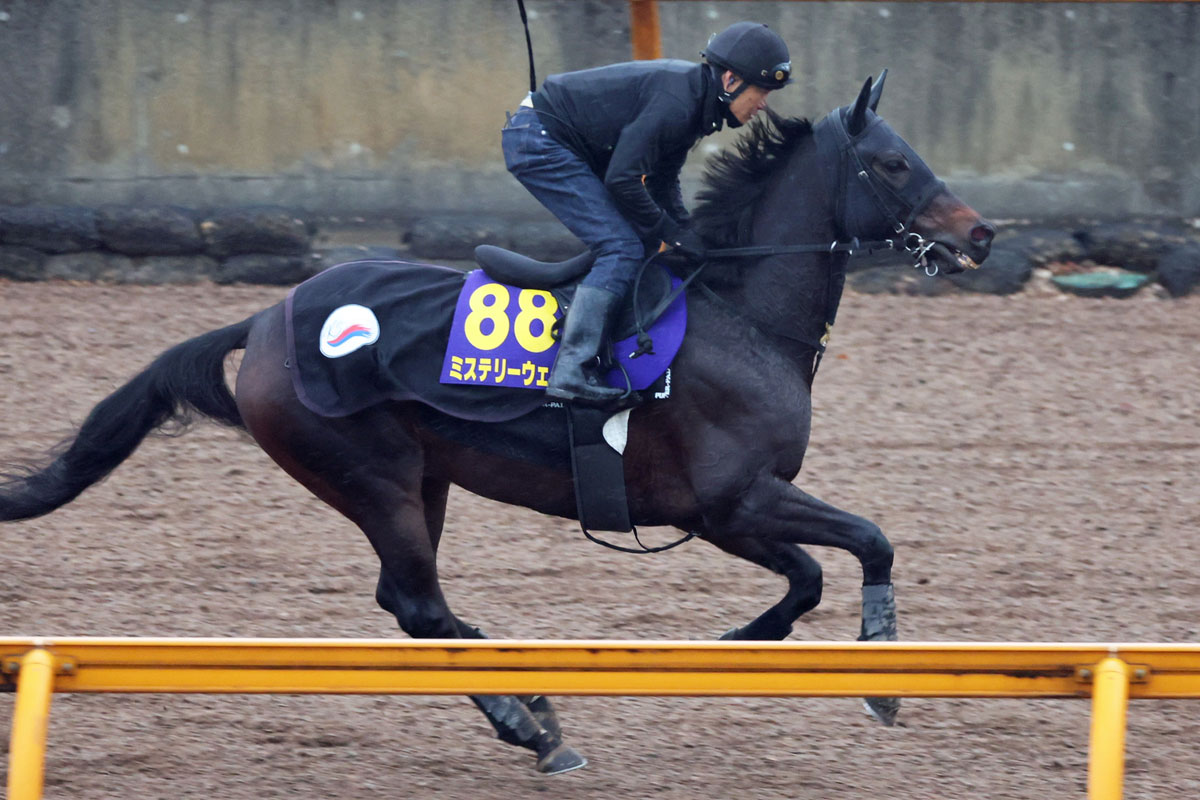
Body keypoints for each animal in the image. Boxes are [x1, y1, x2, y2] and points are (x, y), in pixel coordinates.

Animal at [0, 74, 994, 774]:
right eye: (894, 162)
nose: (982, 236)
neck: (740, 313)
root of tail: (266, 319)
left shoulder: (725, 512)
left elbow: (814, 575)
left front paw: (755, 646)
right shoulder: (730, 502)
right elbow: (864, 544)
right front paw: (876, 678)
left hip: (423, 479)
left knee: (409, 606)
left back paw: (531, 711)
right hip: (371, 476)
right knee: (420, 606)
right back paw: (535, 722)